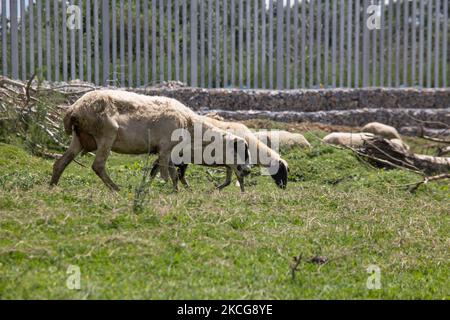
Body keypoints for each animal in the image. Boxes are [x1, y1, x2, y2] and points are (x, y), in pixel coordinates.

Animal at [51, 89, 253, 191]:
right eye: (240, 150)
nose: (248, 170)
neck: (190, 124)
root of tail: (74, 109)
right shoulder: (165, 149)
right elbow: (165, 174)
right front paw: (167, 190)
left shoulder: (168, 152)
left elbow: (169, 174)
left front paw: (176, 191)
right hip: (106, 134)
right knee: (97, 165)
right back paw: (117, 188)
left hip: (79, 138)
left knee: (60, 162)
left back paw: (52, 186)